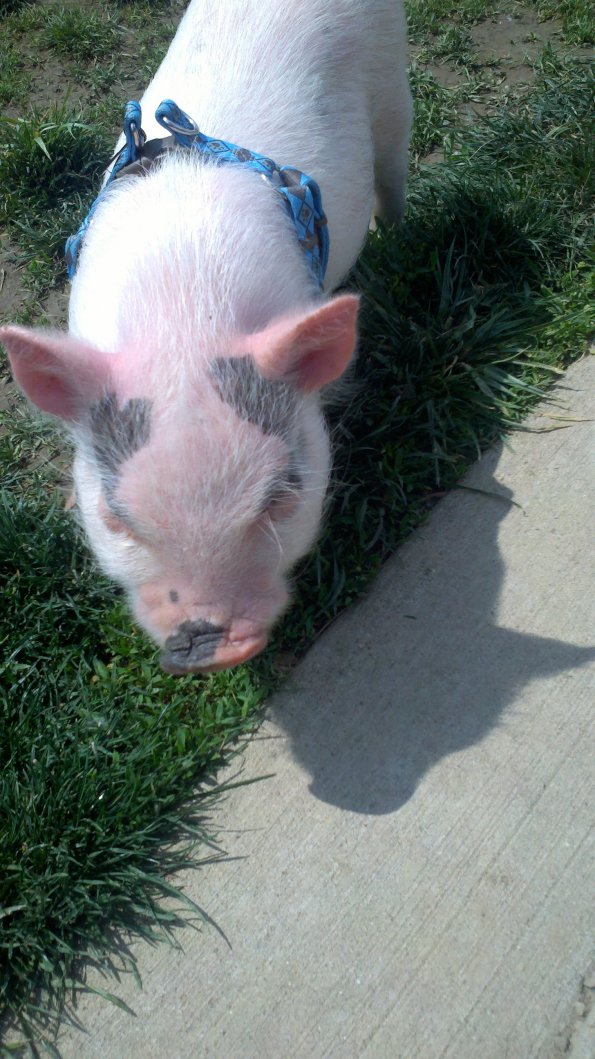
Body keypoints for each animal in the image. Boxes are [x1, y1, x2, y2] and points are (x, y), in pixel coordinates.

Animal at [0, 0, 410, 673]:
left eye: (280, 498)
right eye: (115, 519)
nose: (209, 649)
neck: (184, 317)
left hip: (393, 79)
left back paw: (393, 233)